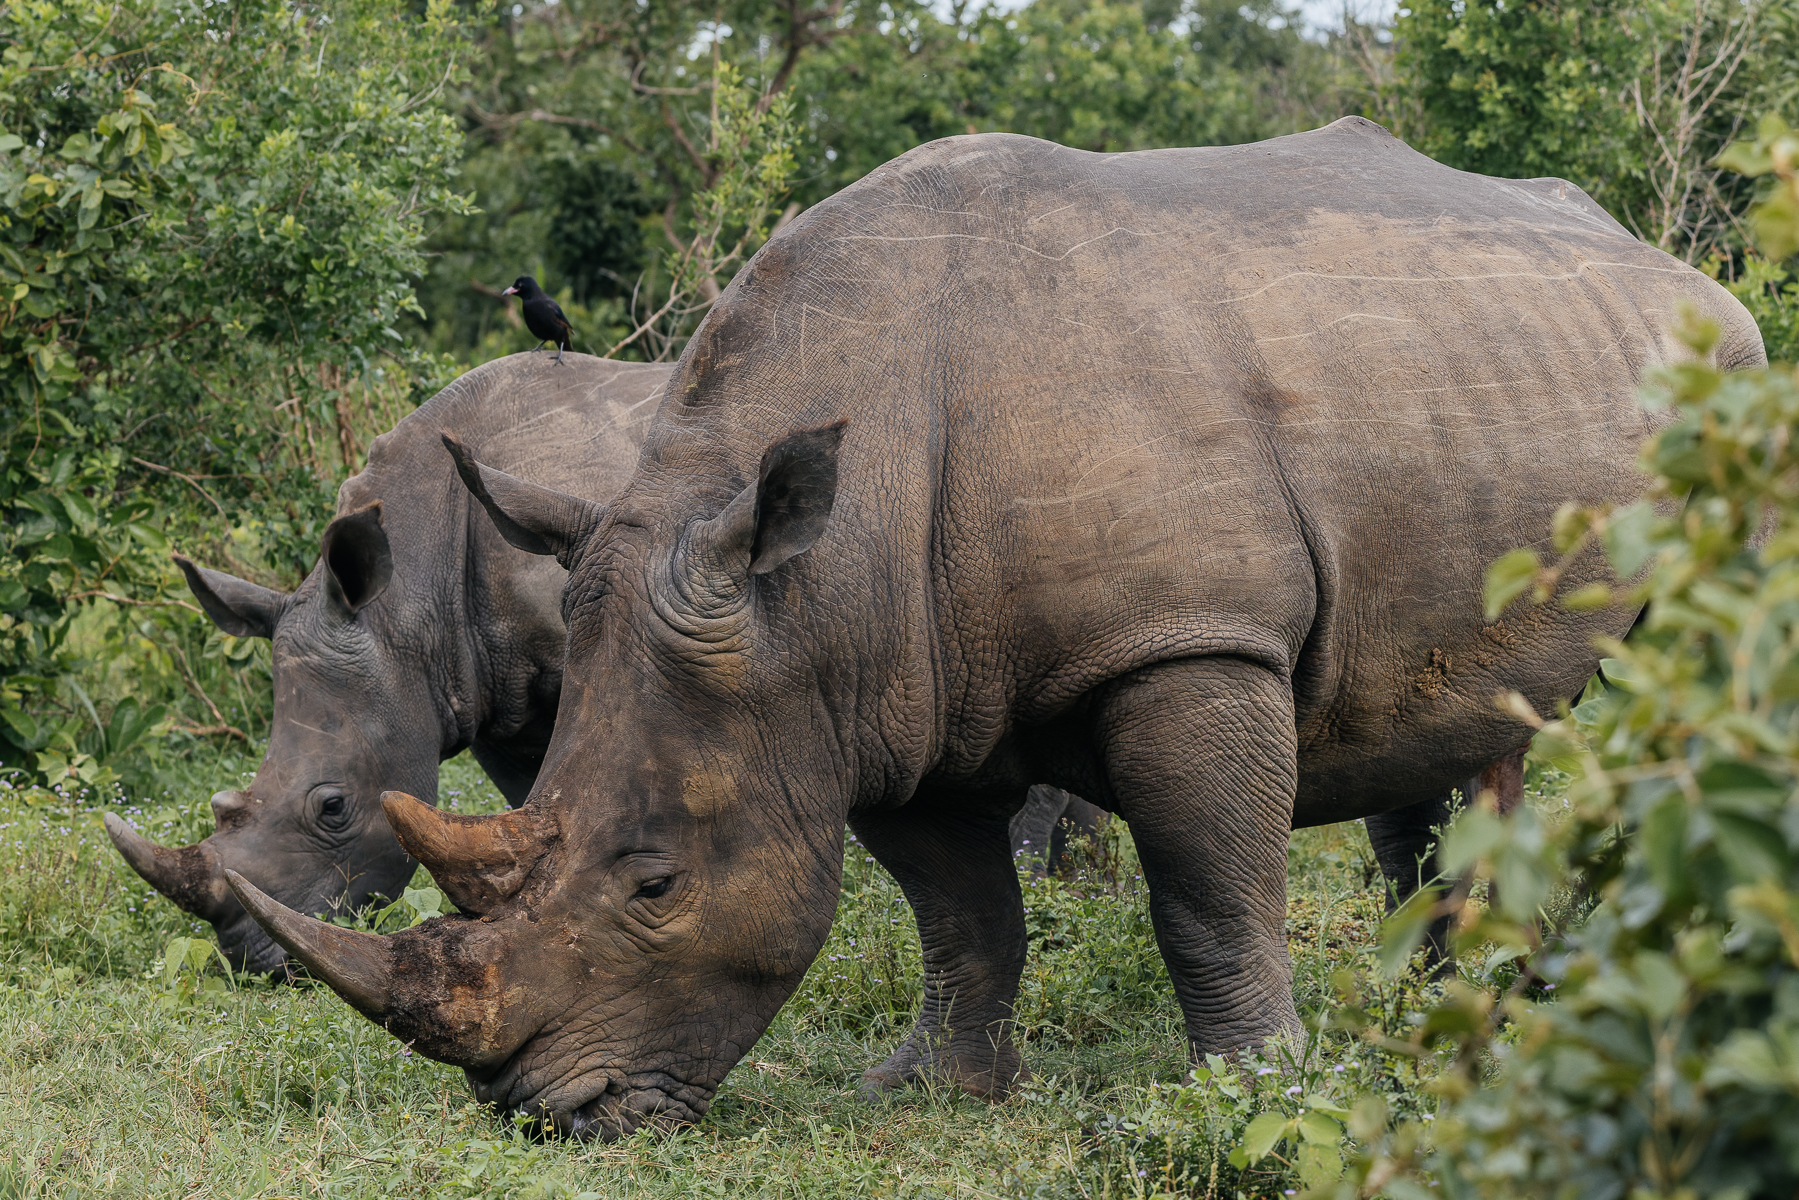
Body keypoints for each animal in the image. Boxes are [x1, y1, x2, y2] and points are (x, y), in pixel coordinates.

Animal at [227, 118, 1764, 1138]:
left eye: (654, 883)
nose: (546, 1114)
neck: (816, 570)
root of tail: (1668, 264)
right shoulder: (873, 687)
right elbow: (958, 907)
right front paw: (931, 1089)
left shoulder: (1183, 641)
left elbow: (1206, 889)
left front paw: (1249, 1091)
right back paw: (1450, 1010)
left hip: (1729, 395)